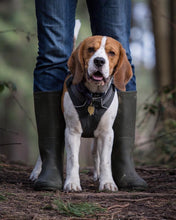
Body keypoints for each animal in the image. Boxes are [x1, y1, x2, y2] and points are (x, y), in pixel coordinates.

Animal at [63, 35, 132, 191]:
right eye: (90, 49)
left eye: (111, 53)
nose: (99, 61)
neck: (93, 97)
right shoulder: (72, 131)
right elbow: (73, 160)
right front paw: (72, 183)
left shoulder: (106, 133)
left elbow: (105, 161)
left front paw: (107, 183)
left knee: (96, 154)